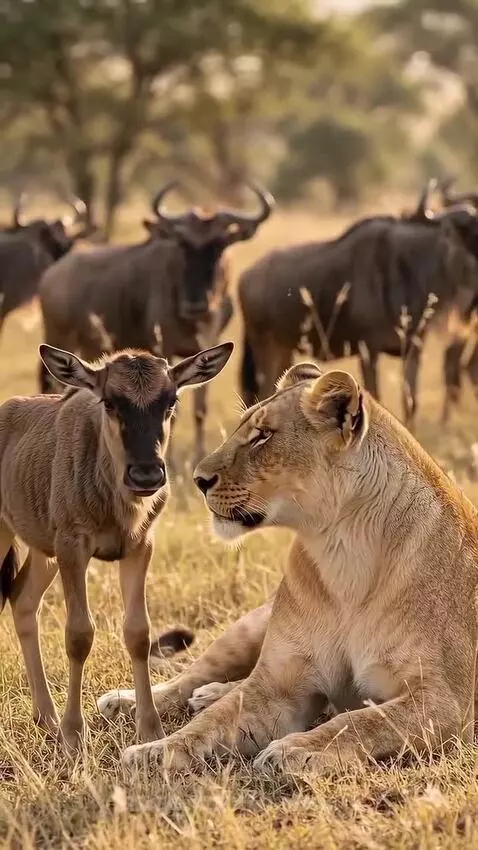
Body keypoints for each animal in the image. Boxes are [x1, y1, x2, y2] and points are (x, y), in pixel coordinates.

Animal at [0, 340, 233, 751]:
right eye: (109, 401)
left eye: (171, 400)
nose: (146, 475)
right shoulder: (72, 547)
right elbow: (79, 635)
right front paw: (74, 736)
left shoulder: (139, 548)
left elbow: (138, 633)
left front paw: (150, 728)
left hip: (42, 551)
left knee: (22, 600)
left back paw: (45, 718)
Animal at [38, 181, 274, 463]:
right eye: (182, 244)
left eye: (220, 244)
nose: (196, 304)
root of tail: (53, 273)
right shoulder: (165, 347)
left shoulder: (207, 345)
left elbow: (200, 408)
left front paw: (199, 453)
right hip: (58, 338)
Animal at [99, 362, 478, 774]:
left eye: (262, 436)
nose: (198, 480)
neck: (341, 554)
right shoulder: (277, 685)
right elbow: (211, 722)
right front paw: (153, 752)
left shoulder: (444, 701)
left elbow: (360, 721)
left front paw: (293, 750)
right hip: (248, 627)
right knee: (191, 677)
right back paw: (132, 701)